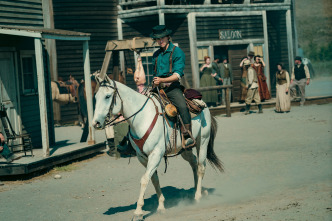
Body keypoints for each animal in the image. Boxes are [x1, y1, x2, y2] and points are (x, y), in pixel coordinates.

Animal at [92, 75, 224, 219]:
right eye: (96, 97)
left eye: (107, 96)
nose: (95, 123)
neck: (142, 118)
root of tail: (203, 104)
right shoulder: (142, 157)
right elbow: (153, 179)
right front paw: (161, 206)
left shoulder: (156, 154)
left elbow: (144, 179)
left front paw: (138, 212)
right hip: (184, 149)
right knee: (194, 163)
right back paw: (199, 190)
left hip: (203, 141)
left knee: (200, 167)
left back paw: (198, 196)